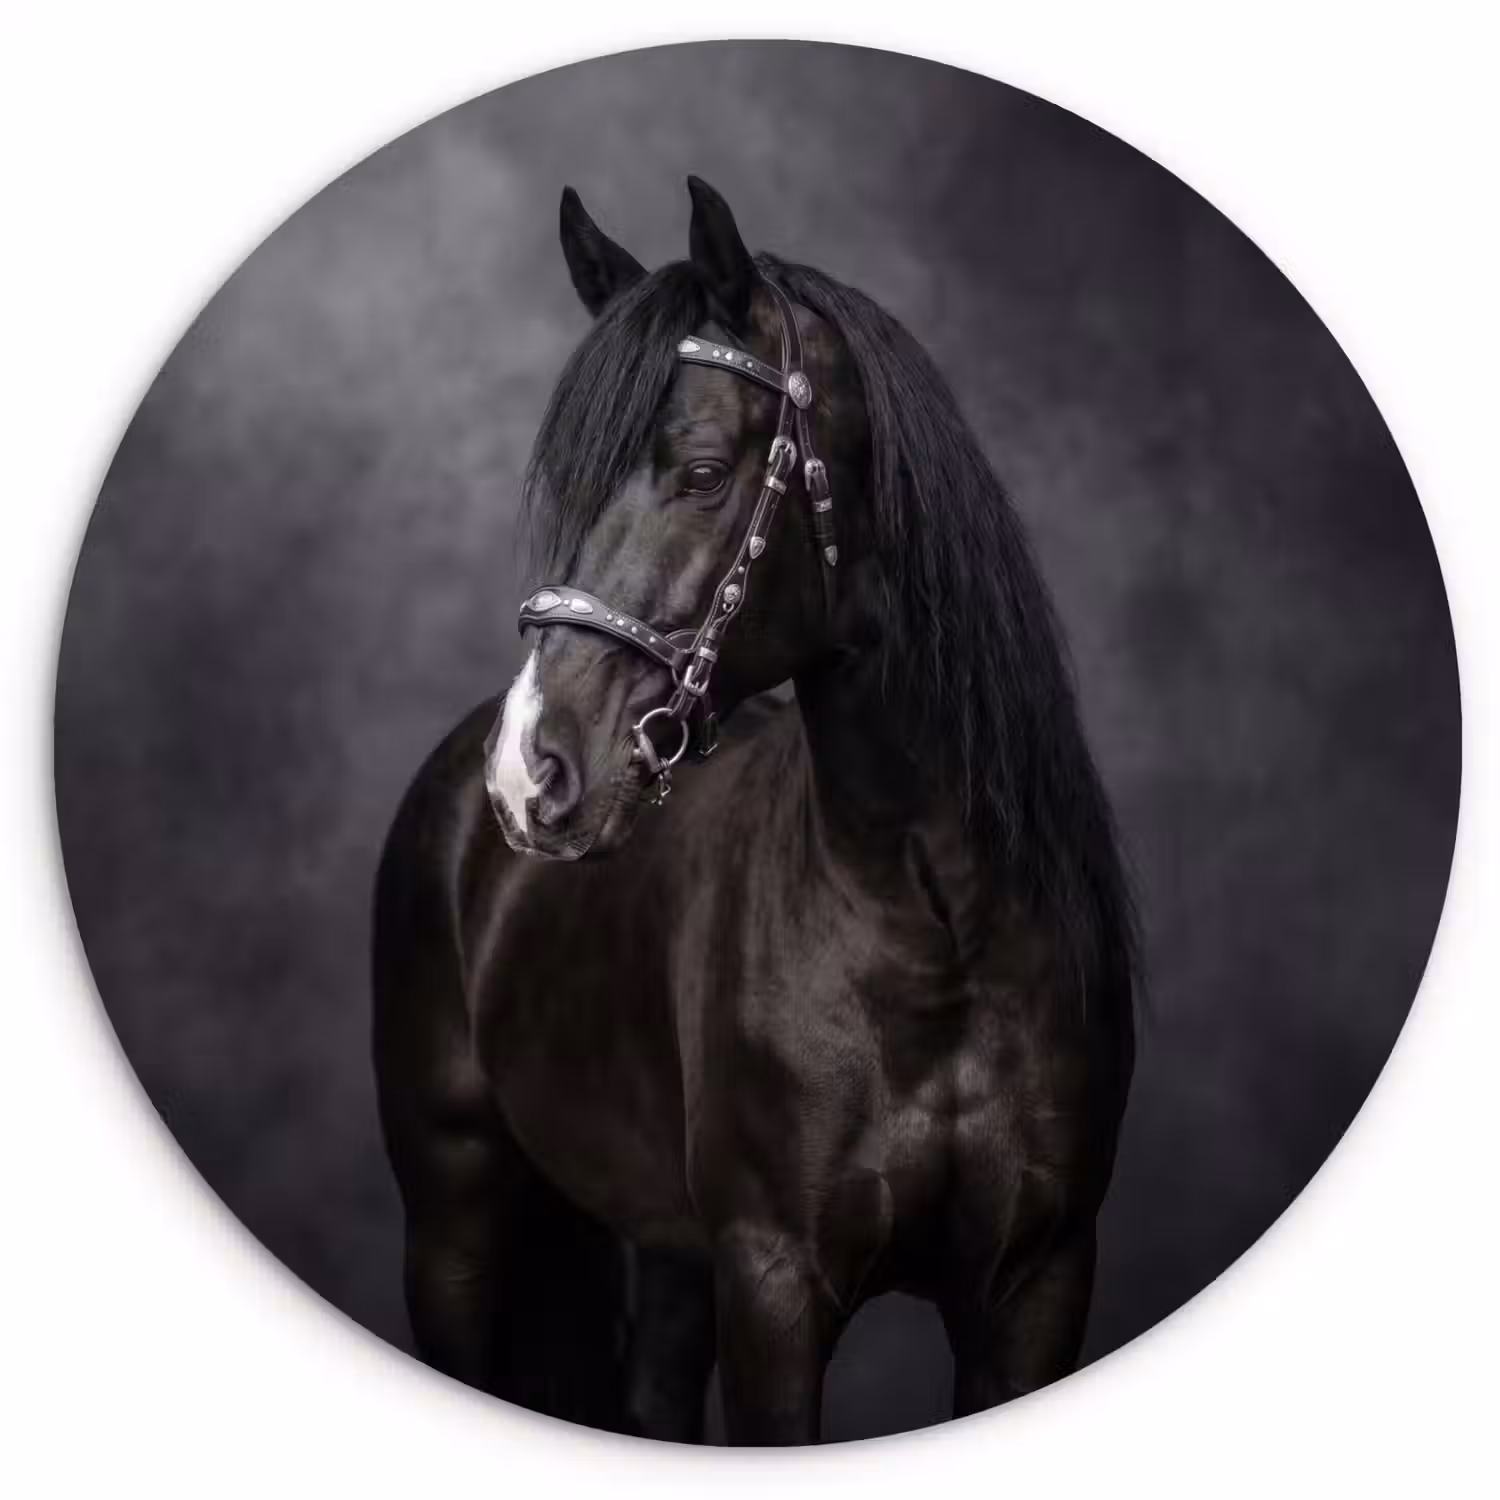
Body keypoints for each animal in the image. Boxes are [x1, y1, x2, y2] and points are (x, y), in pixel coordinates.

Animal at [372, 176, 1137, 1445]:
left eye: (698, 472)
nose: (532, 770)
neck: (937, 926)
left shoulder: (1036, 1280)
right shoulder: (775, 1282)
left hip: (667, 1253)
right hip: (455, 1223)